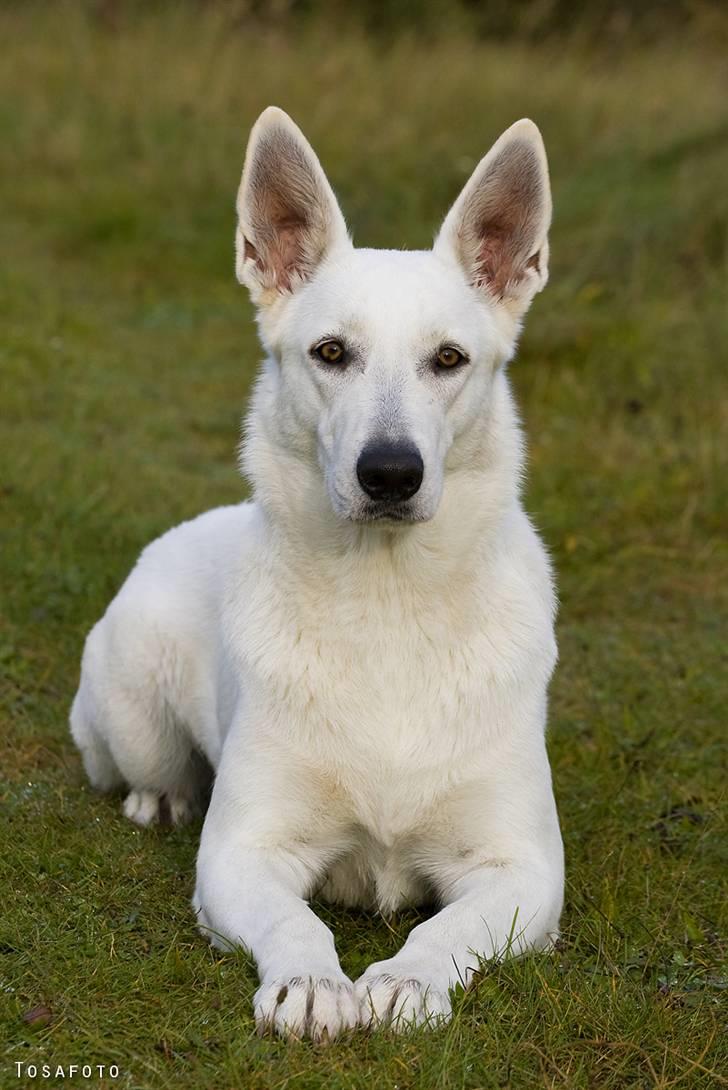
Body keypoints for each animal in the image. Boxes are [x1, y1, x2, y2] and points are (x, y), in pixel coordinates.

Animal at [70, 106, 562, 1042]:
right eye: (331, 353)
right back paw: (160, 800)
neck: (388, 602)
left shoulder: (522, 870)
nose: (390, 473)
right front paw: (309, 983)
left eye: (449, 360)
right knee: (145, 767)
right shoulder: (243, 854)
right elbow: (294, 921)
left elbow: (447, 928)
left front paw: (406, 979)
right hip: (130, 716)